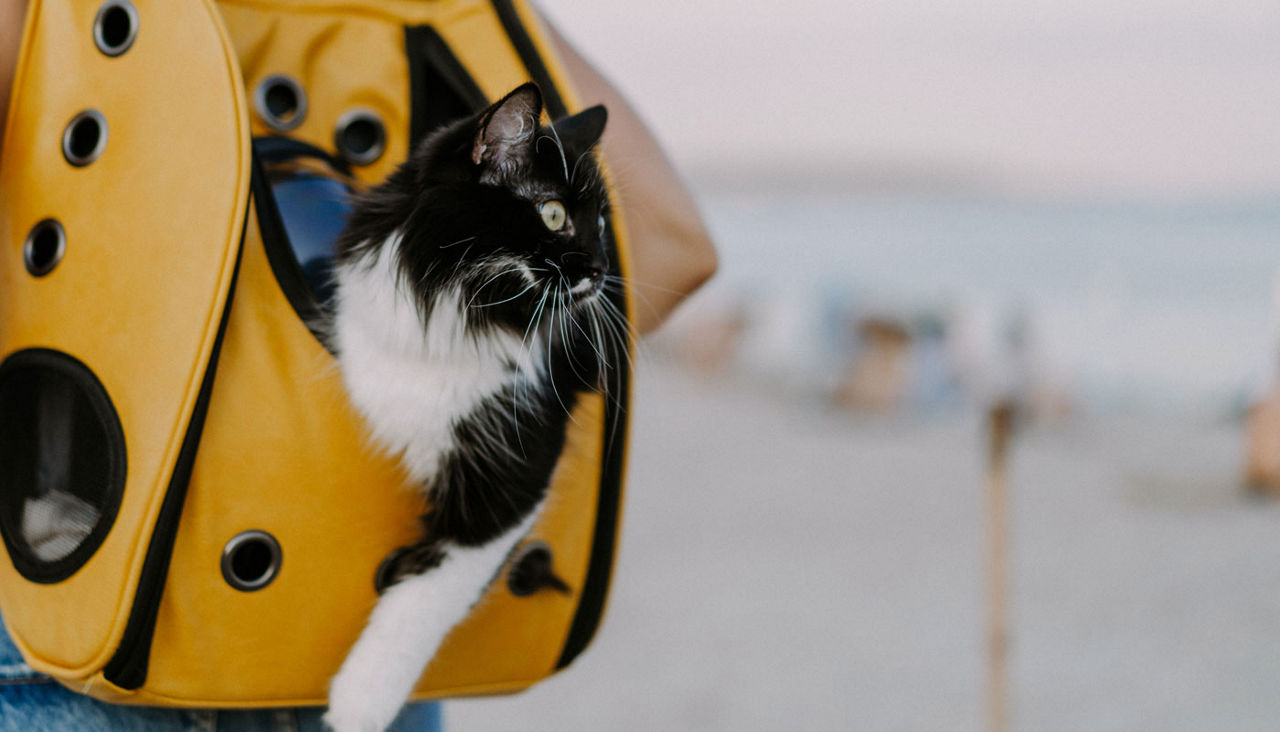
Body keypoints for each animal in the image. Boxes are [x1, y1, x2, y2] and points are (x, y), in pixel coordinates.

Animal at [322, 85, 616, 732]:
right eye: (553, 215)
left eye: (603, 223)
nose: (602, 269)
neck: (467, 311)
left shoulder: (509, 479)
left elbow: (422, 601)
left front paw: (357, 706)